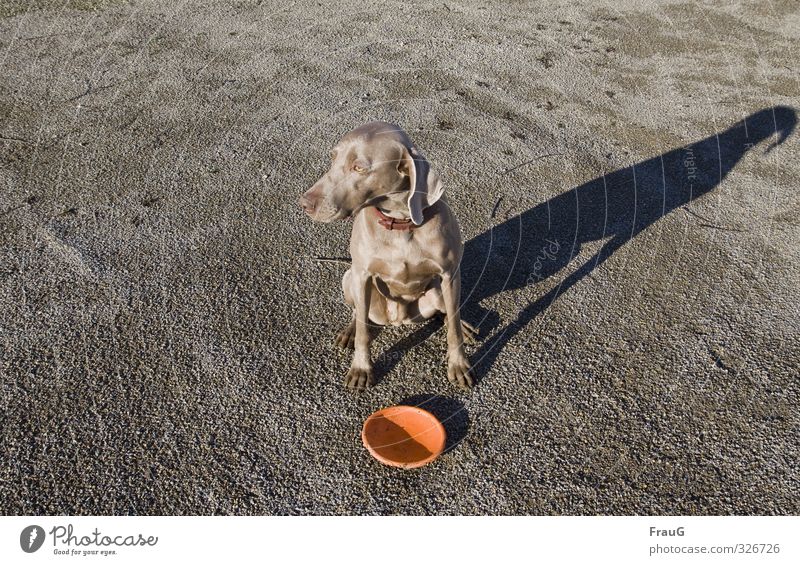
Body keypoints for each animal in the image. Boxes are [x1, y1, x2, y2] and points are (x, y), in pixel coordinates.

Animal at [298, 121, 476, 390]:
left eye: (359, 167)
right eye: (333, 157)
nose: (304, 204)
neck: (400, 223)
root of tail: (397, 319)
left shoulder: (450, 274)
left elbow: (453, 325)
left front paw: (459, 364)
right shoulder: (361, 274)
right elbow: (363, 331)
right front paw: (361, 368)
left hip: (436, 291)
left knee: (446, 312)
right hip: (349, 278)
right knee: (358, 313)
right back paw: (350, 331)